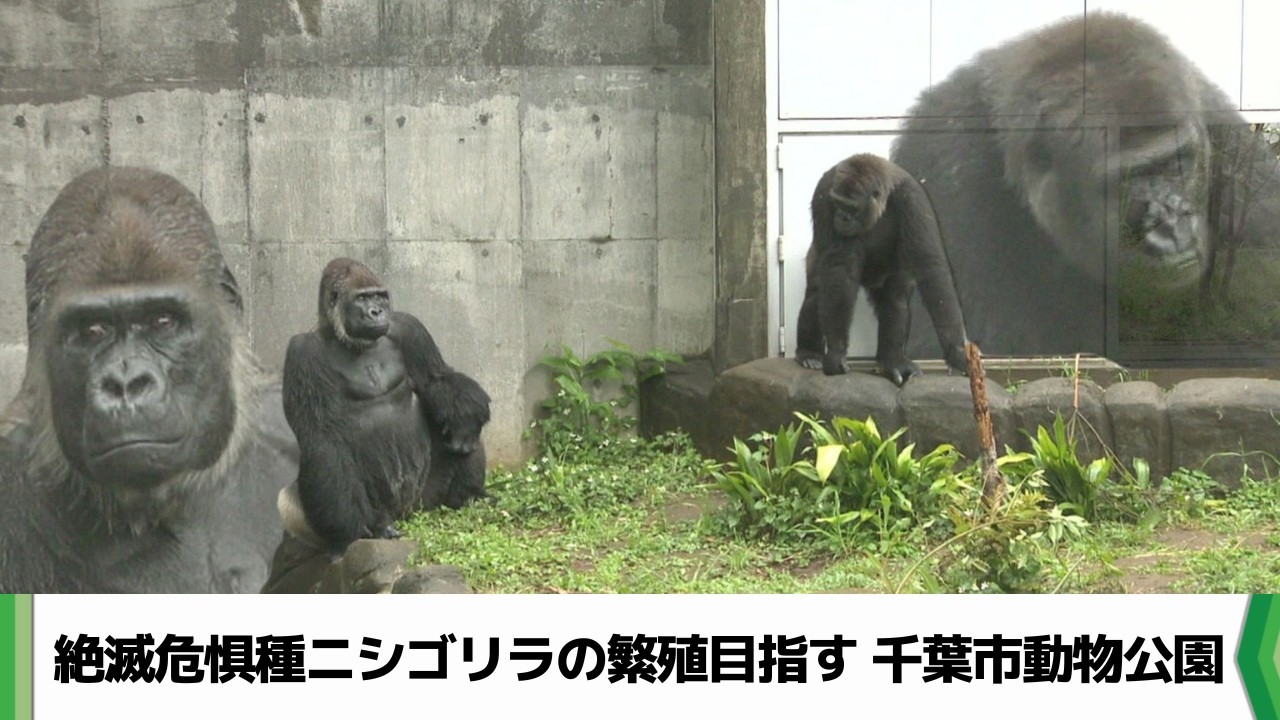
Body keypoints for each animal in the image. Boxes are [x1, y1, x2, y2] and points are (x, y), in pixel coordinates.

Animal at [280, 257, 490, 553]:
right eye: (362, 298)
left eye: (380, 296)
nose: (377, 312)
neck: (346, 338)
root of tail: (406, 512)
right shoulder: (301, 353)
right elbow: (322, 439)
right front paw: (363, 525)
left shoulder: (407, 327)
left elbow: (436, 379)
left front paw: (464, 419)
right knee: (290, 501)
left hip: (426, 501)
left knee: (463, 431)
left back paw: (466, 494)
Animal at [794, 153, 969, 385]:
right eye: (838, 203)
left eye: (851, 207)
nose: (841, 217)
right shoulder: (824, 193)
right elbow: (840, 269)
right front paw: (837, 351)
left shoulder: (913, 198)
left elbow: (930, 266)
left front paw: (956, 350)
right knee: (816, 293)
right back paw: (809, 353)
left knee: (896, 298)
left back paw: (892, 360)